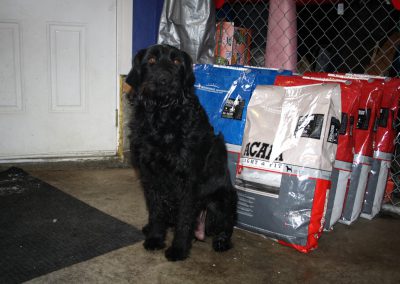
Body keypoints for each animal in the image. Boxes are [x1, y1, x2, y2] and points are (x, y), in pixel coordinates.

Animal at [126, 45, 238, 262]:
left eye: (177, 61)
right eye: (151, 60)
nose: (164, 79)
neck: (163, 118)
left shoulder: (189, 179)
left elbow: (184, 217)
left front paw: (178, 248)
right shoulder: (149, 175)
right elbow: (156, 210)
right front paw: (155, 237)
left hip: (221, 200)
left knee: (226, 225)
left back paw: (221, 241)